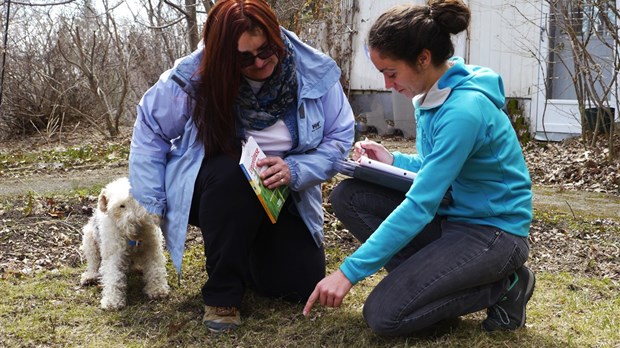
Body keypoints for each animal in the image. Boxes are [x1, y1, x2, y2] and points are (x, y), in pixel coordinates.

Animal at [78, 177, 170, 310]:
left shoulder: (152, 247)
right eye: (121, 206)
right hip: (89, 239)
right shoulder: (114, 253)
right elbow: (113, 276)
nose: (138, 226)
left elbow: (155, 268)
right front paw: (112, 301)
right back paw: (89, 276)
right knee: (93, 263)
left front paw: (157, 289)